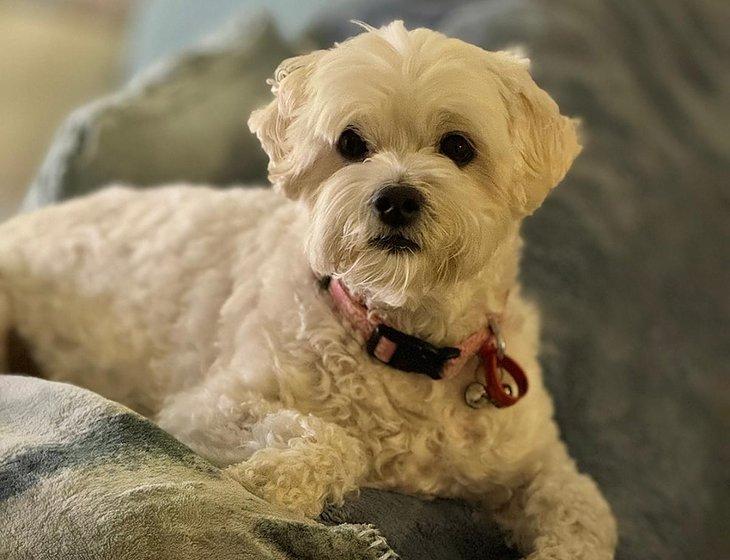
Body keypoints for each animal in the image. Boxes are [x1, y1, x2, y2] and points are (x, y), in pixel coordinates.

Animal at [0, 21, 616, 560]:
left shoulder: (534, 461)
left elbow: (585, 510)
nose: (396, 198)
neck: (400, 340)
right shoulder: (207, 409)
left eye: (459, 147)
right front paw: (271, 481)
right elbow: (337, 441)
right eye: (351, 143)